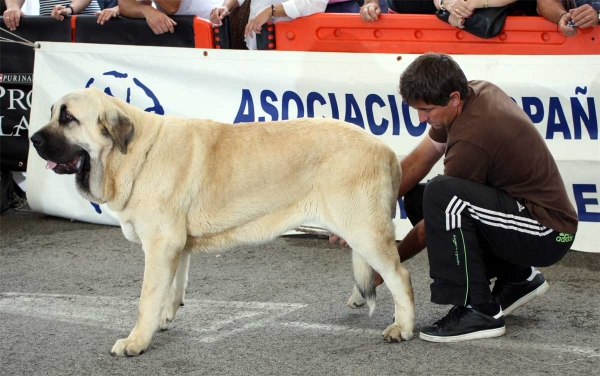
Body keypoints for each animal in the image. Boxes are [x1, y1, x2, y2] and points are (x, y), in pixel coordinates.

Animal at [30, 87, 414, 356]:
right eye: (51, 113)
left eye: (68, 118)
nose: (32, 138)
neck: (134, 154)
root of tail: (387, 151)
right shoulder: (176, 247)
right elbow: (173, 288)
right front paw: (165, 318)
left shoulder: (160, 244)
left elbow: (147, 296)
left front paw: (136, 341)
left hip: (363, 229)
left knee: (400, 276)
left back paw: (403, 327)